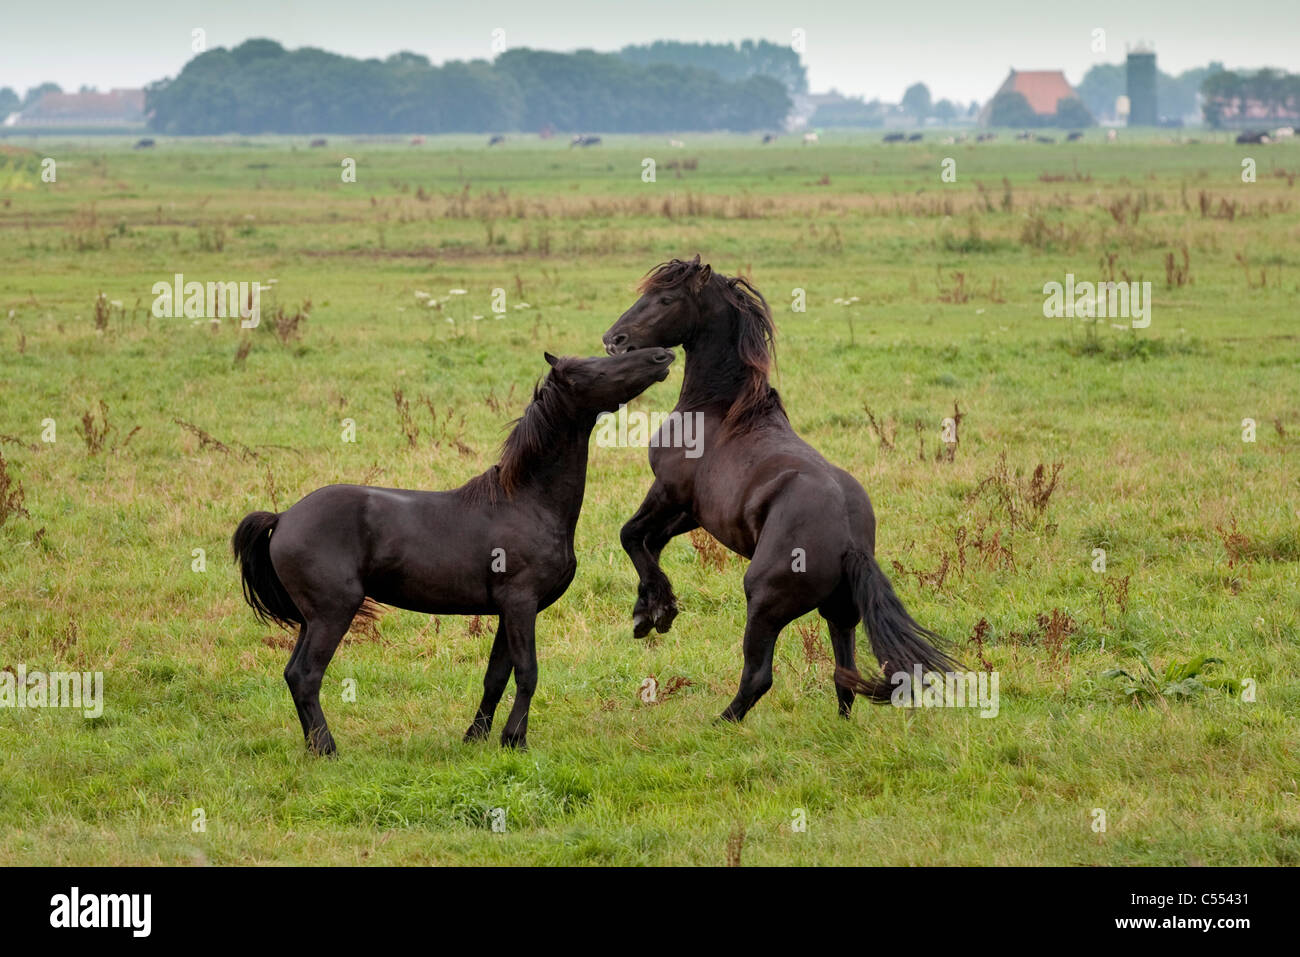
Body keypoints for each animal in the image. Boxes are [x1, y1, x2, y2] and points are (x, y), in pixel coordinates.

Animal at [233, 348, 676, 748]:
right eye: (594, 368)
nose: (662, 356)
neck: (527, 501)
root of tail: (283, 517)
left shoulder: (508, 610)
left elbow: (496, 676)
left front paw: (476, 737)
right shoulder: (521, 603)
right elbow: (527, 673)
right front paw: (515, 740)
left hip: (312, 619)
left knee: (293, 673)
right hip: (331, 613)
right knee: (307, 675)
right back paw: (327, 749)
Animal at [603, 257, 961, 722]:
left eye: (665, 299)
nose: (614, 340)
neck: (720, 410)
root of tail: (850, 544)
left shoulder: (668, 492)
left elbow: (631, 535)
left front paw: (656, 613)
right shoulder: (694, 512)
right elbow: (651, 543)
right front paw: (650, 610)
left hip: (764, 602)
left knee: (758, 675)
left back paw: (719, 724)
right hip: (840, 613)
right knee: (844, 677)